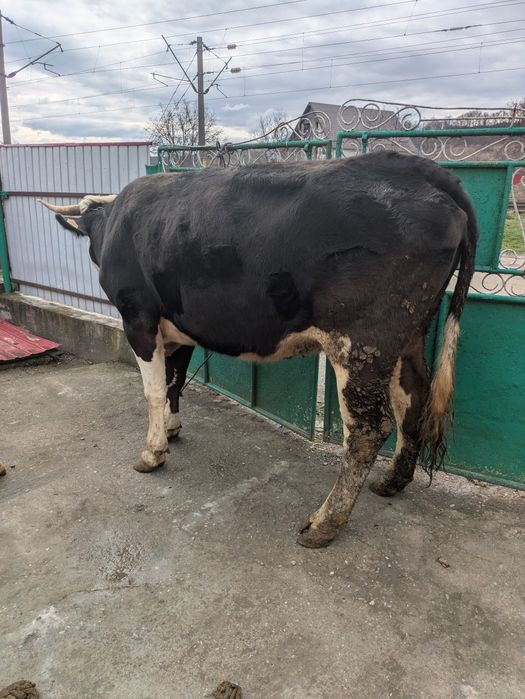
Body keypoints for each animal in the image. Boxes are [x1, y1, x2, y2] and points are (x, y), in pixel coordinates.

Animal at [39, 150, 478, 548]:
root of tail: (418, 168)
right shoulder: (177, 328)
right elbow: (175, 382)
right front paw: (173, 428)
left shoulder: (139, 318)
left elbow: (152, 390)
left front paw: (152, 452)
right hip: (409, 334)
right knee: (413, 398)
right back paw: (392, 482)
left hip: (362, 343)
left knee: (369, 429)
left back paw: (323, 524)